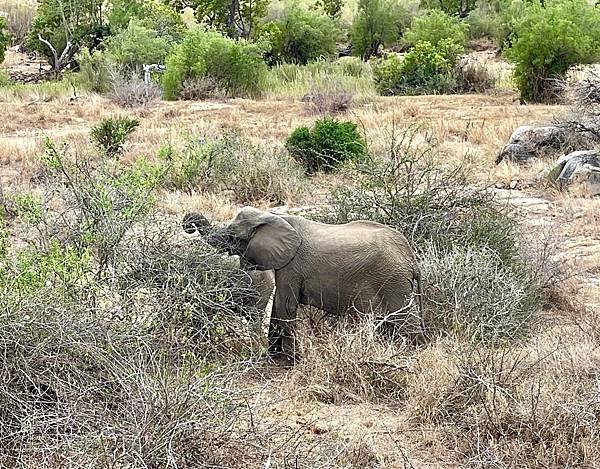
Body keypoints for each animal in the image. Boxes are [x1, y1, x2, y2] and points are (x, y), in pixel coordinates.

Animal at [185, 207, 424, 360]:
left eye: (232, 236)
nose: (188, 225)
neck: (273, 216)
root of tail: (412, 259)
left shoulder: (292, 265)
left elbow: (285, 306)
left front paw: (290, 360)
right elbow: (278, 308)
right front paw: (273, 356)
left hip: (393, 280)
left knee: (406, 320)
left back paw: (416, 354)